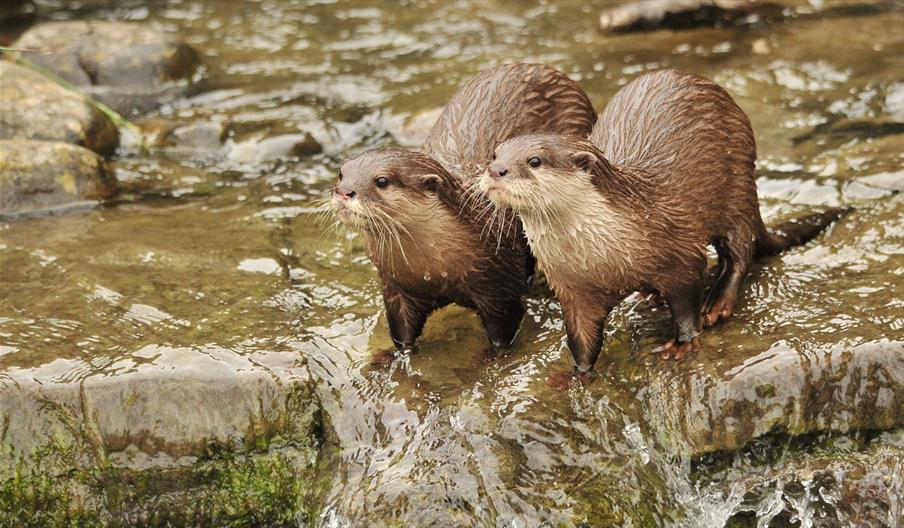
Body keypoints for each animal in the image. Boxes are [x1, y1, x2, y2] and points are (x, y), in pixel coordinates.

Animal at [332, 63, 596, 351]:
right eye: (341, 173)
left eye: (381, 180)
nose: (344, 192)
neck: (435, 272)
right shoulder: (395, 289)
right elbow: (401, 335)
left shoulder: (498, 290)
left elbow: (503, 333)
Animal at [479, 69, 847, 374]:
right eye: (495, 154)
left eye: (535, 160)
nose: (496, 170)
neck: (599, 257)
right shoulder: (573, 291)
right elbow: (581, 339)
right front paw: (577, 374)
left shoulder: (678, 253)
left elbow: (685, 302)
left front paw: (683, 343)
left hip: (738, 190)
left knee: (741, 250)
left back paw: (717, 302)